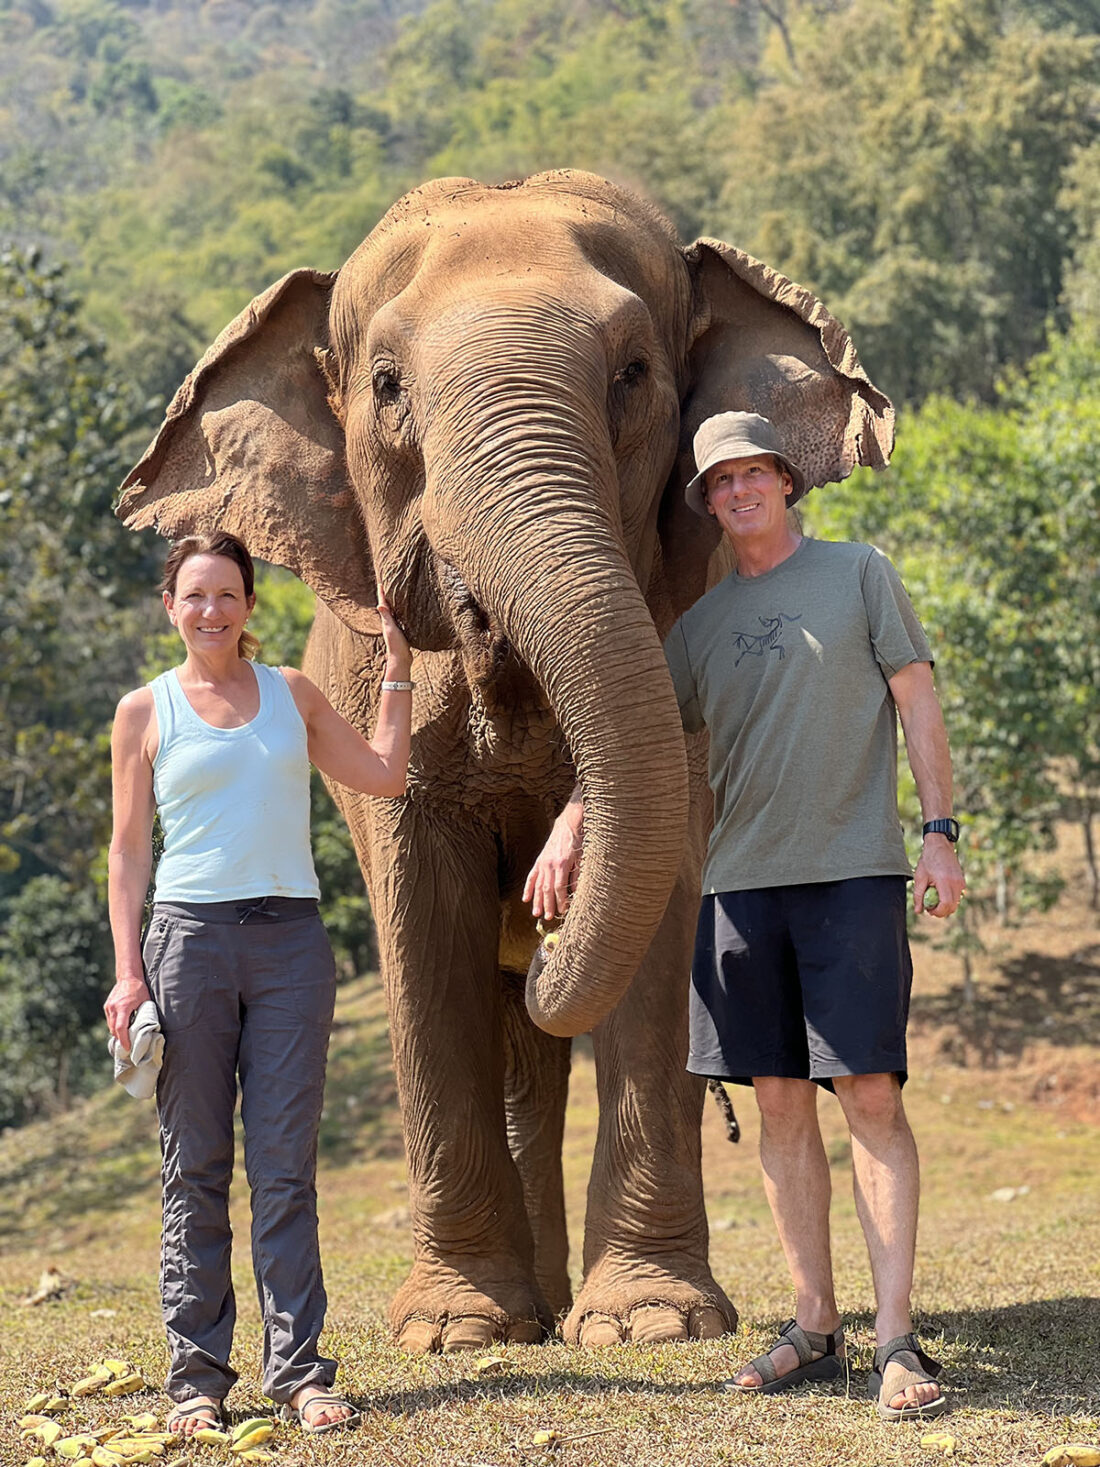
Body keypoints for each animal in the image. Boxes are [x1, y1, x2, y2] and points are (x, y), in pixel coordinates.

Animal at [120, 168, 897, 1349]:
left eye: (632, 374)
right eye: (387, 386)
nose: (546, 905)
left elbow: (660, 906)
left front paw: (648, 1322)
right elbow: (422, 926)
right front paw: (453, 1330)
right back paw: (523, 1310)